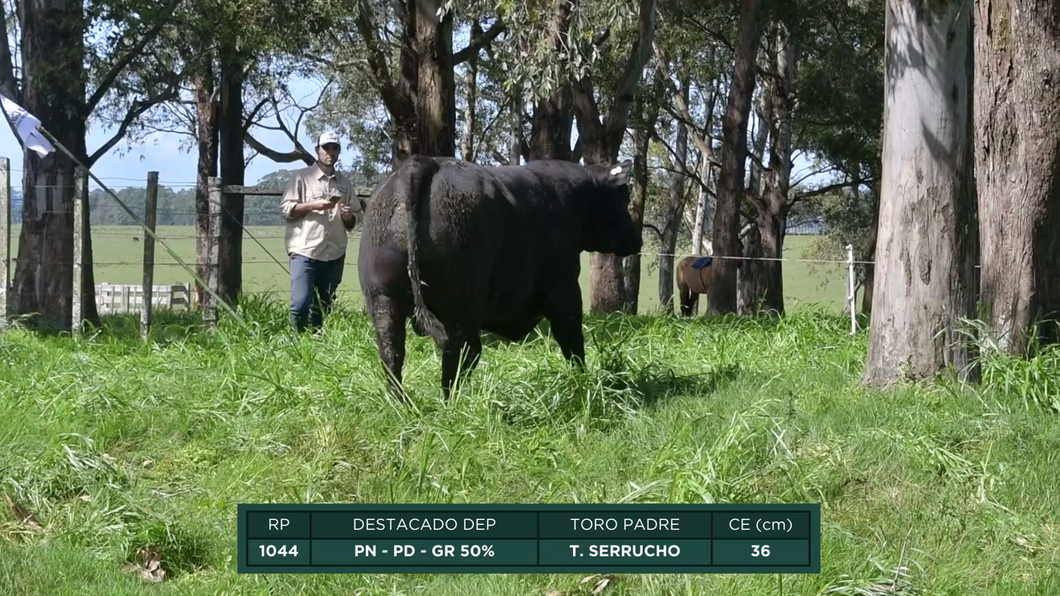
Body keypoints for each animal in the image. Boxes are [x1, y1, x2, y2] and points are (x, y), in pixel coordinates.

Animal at [356, 153, 640, 398]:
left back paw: (401, 403)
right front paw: (582, 383)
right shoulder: (564, 289)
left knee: (392, 352)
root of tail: (424, 163)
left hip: (383, 299)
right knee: (461, 352)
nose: (636, 239)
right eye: (624, 197)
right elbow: (572, 341)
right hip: (460, 307)